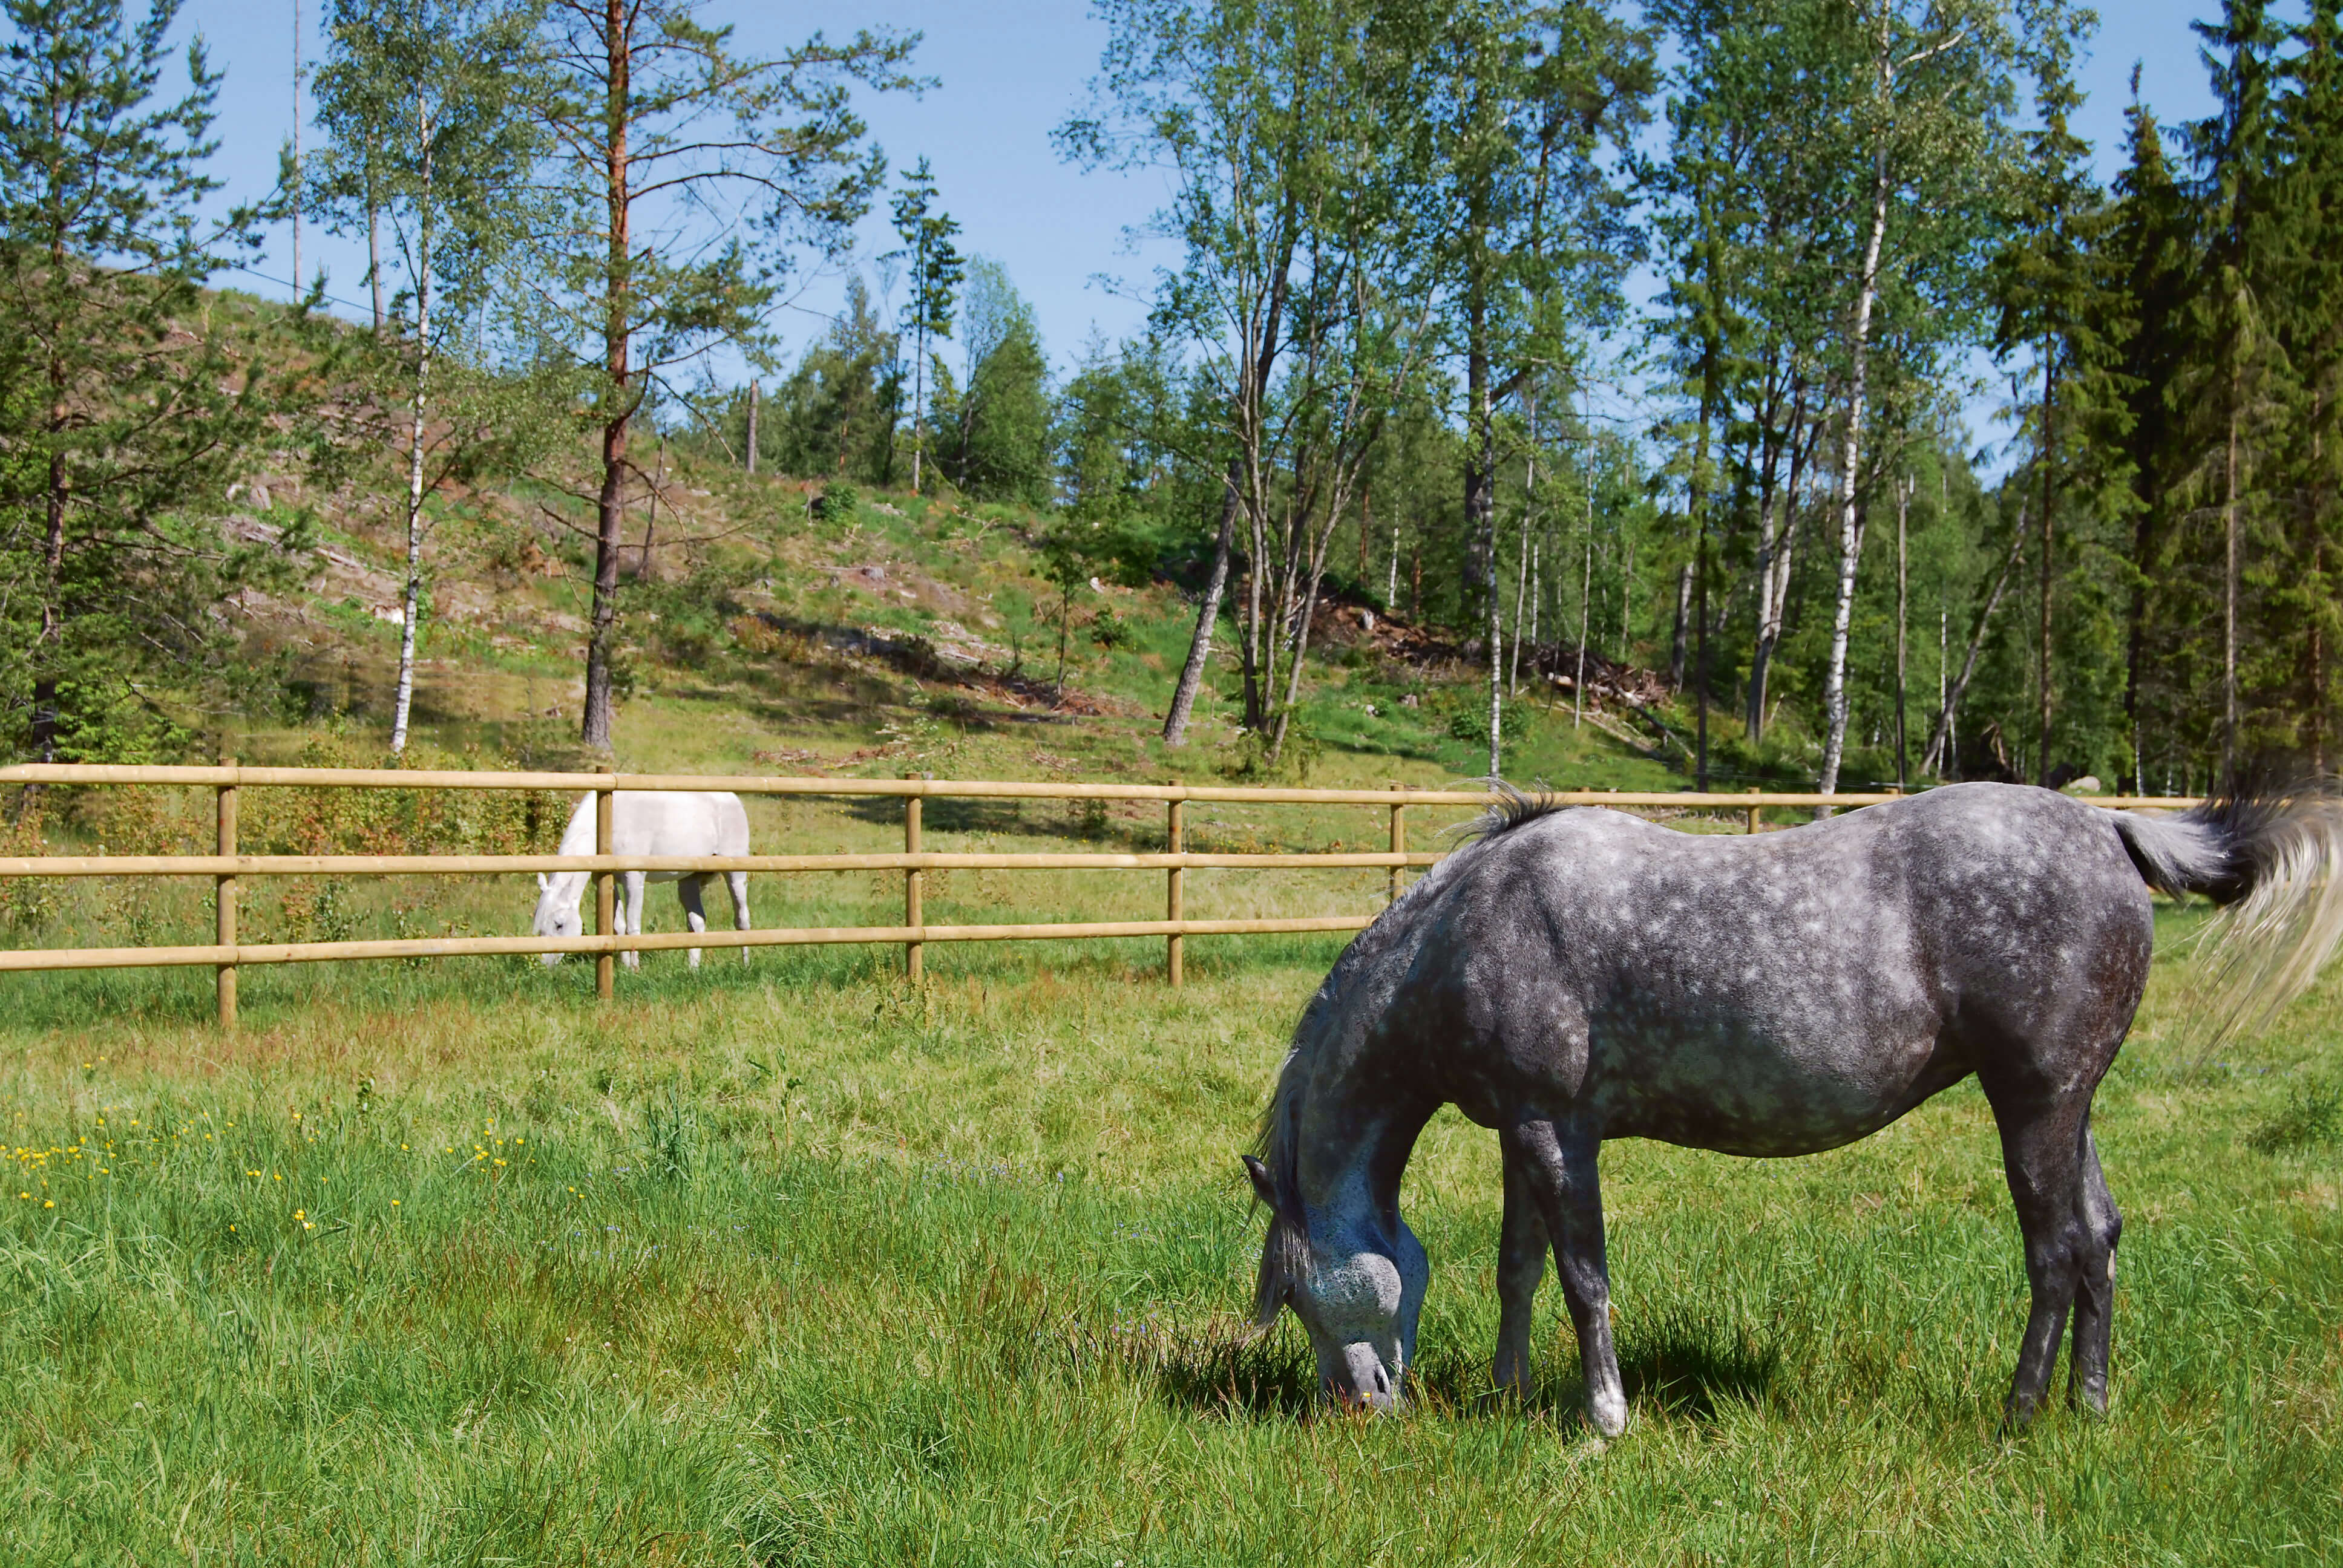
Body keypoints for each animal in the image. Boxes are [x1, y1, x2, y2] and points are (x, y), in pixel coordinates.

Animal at [530, 791, 752, 969]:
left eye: (559, 925)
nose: (544, 965)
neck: (609, 818)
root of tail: (733, 799)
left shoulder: (634, 878)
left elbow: (633, 925)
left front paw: (635, 969)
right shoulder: (608, 881)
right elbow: (618, 925)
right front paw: (626, 967)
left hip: (735, 875)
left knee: (742, 919)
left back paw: (746, 965)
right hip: (688, 882)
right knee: (697, 923)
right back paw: (693, 969)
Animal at [1241, 780, 2343, 1435]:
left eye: (1294, 1292)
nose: (1358, 1408)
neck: (1473, 925)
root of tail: (2109, 825)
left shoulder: (1559, 1133)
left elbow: (1584, 1278)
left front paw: (1604, 1417)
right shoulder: (1524, 1129)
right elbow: (1520, 1269)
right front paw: (1511, 1394)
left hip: (2031, 1106)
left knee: (2057, 1253)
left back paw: (2020, 1414)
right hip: (2069, 1107)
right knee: (2102, 1239)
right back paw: (2091, 1407)